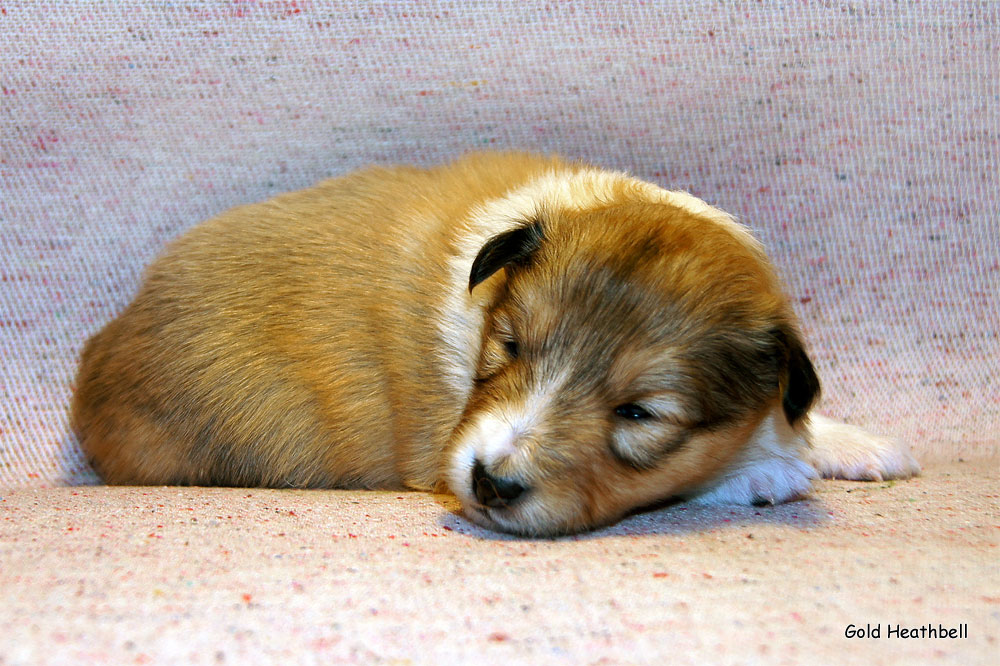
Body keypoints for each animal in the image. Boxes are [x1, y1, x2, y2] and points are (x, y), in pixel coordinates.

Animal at [72, 150, 920, 536]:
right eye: (511, 348)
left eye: (640, 413)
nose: (489, 484)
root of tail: (99, 354)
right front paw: (769, 472)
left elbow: (792, 415)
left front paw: (850, 443)